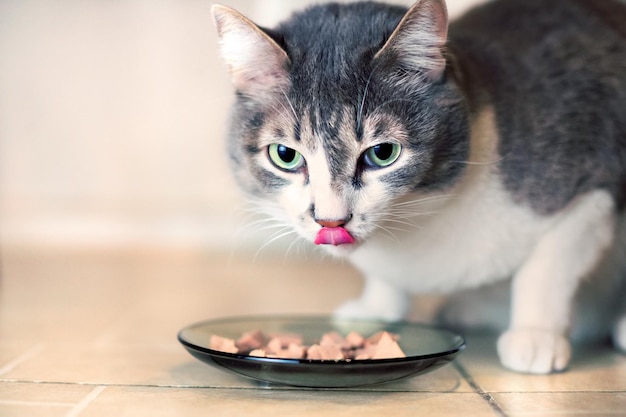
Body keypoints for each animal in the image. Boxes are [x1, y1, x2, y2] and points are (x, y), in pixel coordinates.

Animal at [211, 0, 624, 372]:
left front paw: (535, 336)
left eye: (382, 153)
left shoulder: (590, 186)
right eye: (284, 155)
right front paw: (377, 307)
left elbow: (546, 268)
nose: (331, 221)